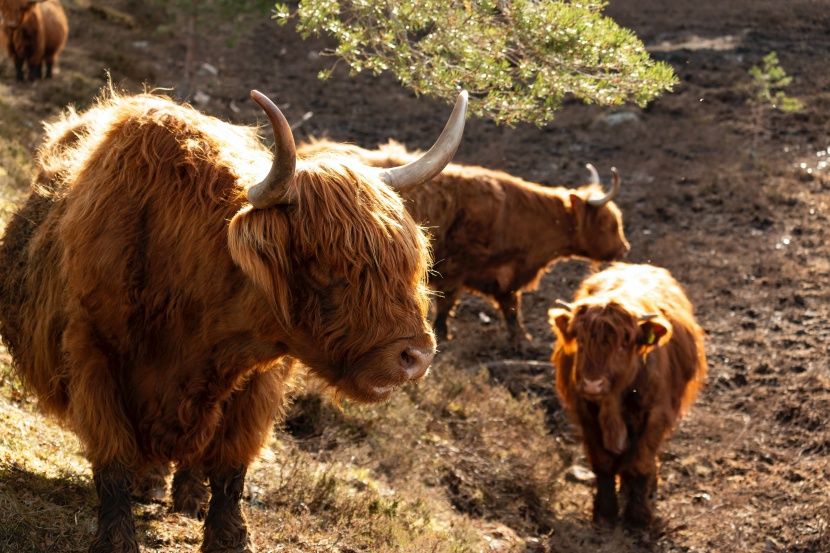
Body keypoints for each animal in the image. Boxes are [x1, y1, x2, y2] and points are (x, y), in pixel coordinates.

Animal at [0, 88, 468, 548]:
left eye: (407, 262)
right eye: (328, 265)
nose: (418, 357)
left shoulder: (258, 381)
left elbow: (231, 467)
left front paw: (228, 538)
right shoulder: (92, 353)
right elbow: (113, 458)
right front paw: (116, 540)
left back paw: (187, 495)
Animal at [300, 138, 632, 342]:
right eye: (609, 223)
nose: (624, 250)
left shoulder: (505, 278)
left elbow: (512, 309)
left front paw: (521, 339)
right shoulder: (455, 268)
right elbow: (448, 303)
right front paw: (444, 334)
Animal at [552, 264, 708, 528]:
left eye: (624, 343)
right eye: (580, 340)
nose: (593, 384)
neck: (612, 403)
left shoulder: (655, 415)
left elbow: (639, 463)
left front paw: (638, 517)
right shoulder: (586, 412)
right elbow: (602, 462)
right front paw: (605, 513)